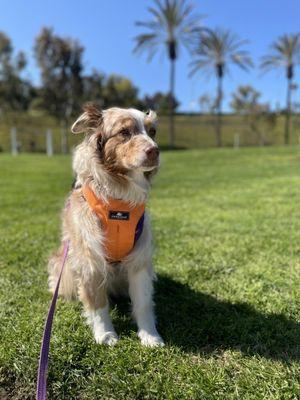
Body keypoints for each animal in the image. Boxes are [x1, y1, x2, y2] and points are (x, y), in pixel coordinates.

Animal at [47, 103, 164, 346]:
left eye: (153, 132)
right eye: (124, 132)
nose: (155, 151)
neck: (119, 200)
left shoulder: (139, 258)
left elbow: (143, 302)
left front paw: (150, 336)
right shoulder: (89, 257)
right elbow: (97, 303)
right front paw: (105, 334)